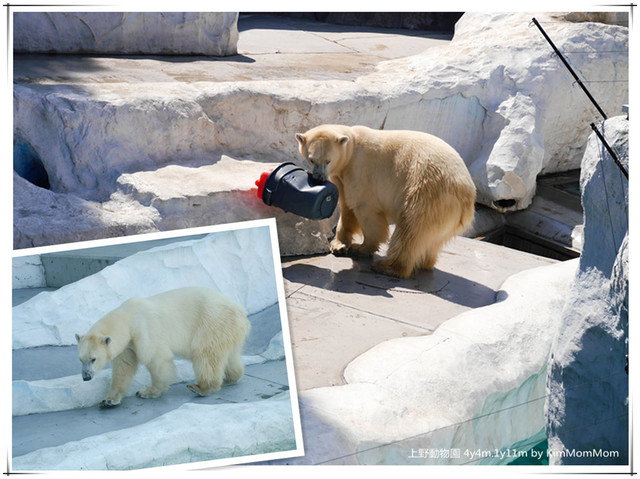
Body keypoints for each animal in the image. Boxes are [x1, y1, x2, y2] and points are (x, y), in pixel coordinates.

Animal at [76, 288, 251, 408]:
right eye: (81, 359)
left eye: (93, 359)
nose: (86, 377)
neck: (127, 318)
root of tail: (240, 312)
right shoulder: (127, 345)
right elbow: (123, 368)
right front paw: (108, 400)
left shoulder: (145, 330)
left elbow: (156, 359)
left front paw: (148, 392)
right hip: (228, 331)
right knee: (229, 355)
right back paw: (230, 378)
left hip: (212, 323)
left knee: (205, 354)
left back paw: (201, 387)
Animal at [296, 125, 476, 280]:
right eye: (312, 160)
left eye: (328, 160)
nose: (319, 177)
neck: (351, 146)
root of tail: (467, 194)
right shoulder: (342, 177)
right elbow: (346, 207)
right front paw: (338, 245)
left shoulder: (360, 171)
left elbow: (364, 208)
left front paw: (361, 248)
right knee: (431, 239)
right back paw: (425, 262)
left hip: (428, 193)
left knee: (411, 230)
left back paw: (387, 266)